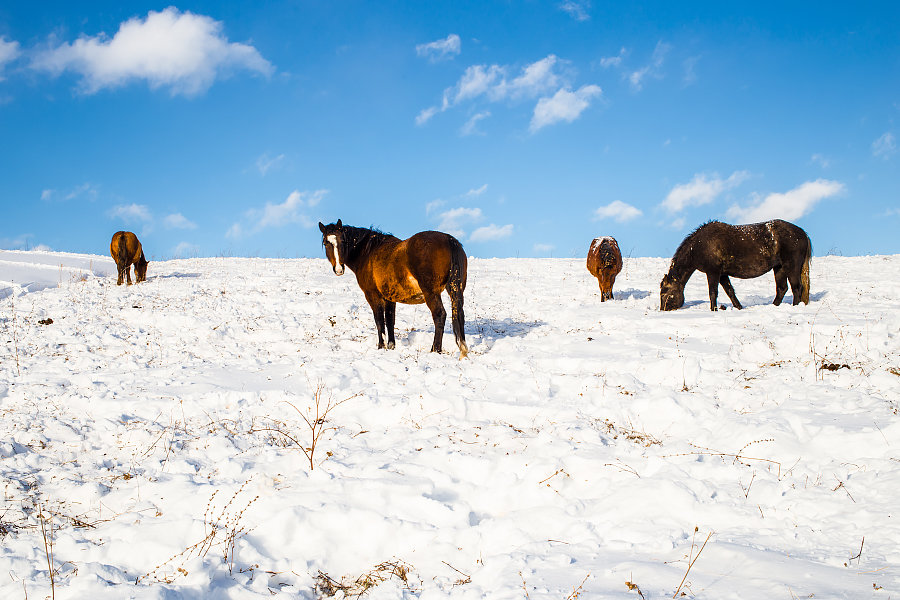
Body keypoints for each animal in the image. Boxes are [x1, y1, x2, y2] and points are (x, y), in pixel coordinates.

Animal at [318, 223, 472, 358]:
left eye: (343, 241)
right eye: (326, 243)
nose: (339, 269)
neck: (368, 252)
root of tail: (448, 239)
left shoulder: (373, 296)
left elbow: (379, 321)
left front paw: (381, 346)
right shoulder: (389, 298)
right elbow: (390, 321)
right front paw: (391, 346)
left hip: (431, 294)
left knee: (439, 315)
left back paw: (435, 350)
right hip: (456, 291)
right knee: (459, 314)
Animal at [656, 220, 812, 314]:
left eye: (664, 292)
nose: (663, 310)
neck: (699, 246)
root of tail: (802, 233)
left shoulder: (713, 272)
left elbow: (713, 293)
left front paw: (713, 310)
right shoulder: (722, 274)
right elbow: (730, 291)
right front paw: (739, 307)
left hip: (791, 266)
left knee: (796, 288)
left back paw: (795, 307)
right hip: (779, 268)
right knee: (782, 289)